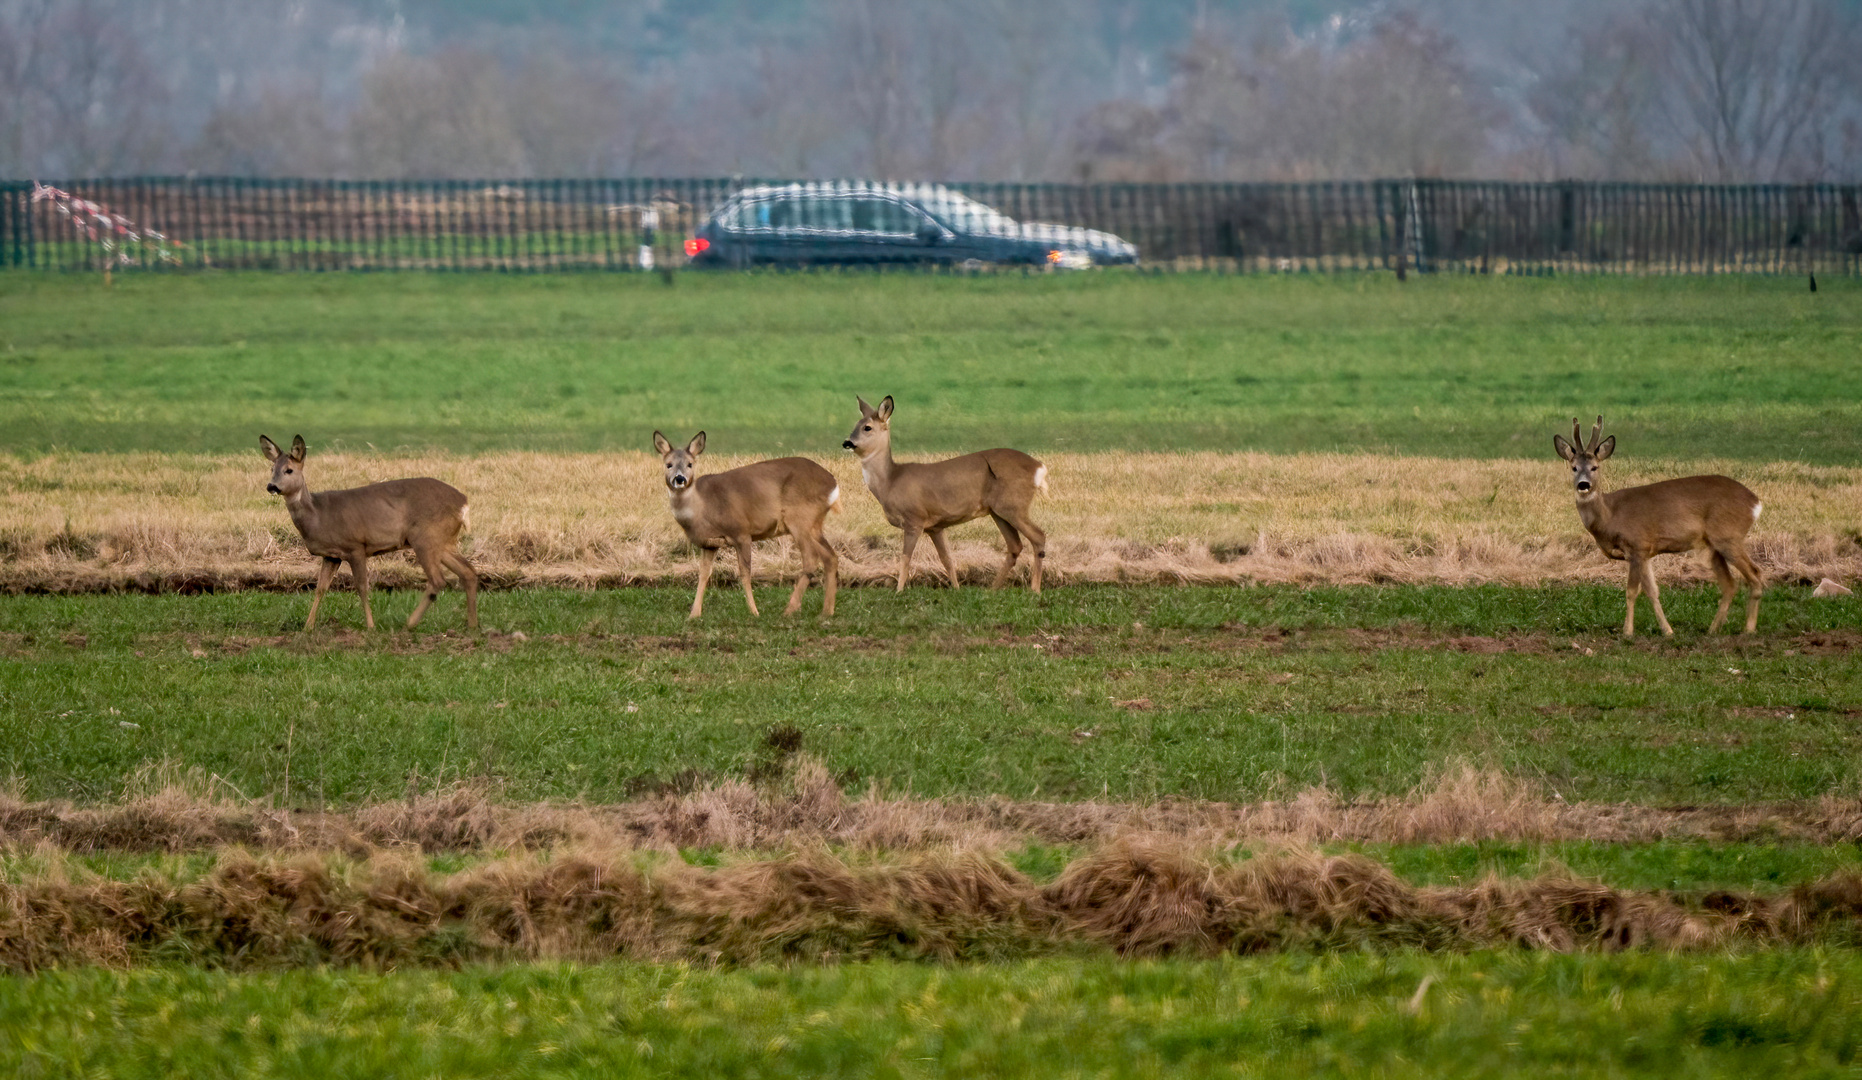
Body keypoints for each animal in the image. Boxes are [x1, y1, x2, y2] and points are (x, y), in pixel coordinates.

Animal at [647, 428, 837, 614]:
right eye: (668, 464)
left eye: (690, 464)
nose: (680, 479)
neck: (703, 507)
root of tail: (833, 485)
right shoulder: (709, 544)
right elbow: (704, 574)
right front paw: (694, 615)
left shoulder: (741, 532)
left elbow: (745, 574)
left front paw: (754, 612)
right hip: (814, 524)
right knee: (830, 556)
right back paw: (826, 612)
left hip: (800, 518)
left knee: (811, 559)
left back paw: (789, 610)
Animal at [845, 392, 1050, 592]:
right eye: (854, 425)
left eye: (867, 427)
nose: (847, 442)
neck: (890, 482)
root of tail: (1039, 467)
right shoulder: (935, 526)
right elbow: (947, 559)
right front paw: (957, 589)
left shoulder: (914, 519)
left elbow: (905, 559)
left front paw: (899, 591)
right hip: (998, 511)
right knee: (1015, 545)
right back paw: (992, 589)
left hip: (1014, 505)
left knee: (1038, 536)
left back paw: (1034, 589)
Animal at [1556, 413, 1757, 633]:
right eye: (1574, 468)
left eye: (1595, 467)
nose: (1584, 485)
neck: (1610, 515)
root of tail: (1755, 502)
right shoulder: (1645, 553)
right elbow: (1652, 591)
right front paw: (1668, 631)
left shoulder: (1637, 545)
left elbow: (1631, 591)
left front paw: (1627, 631)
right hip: (1714, 545)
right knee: (1730, 585)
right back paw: (1713, 629)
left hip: (1729, 536)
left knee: (1755, 574)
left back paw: (1748, 629)